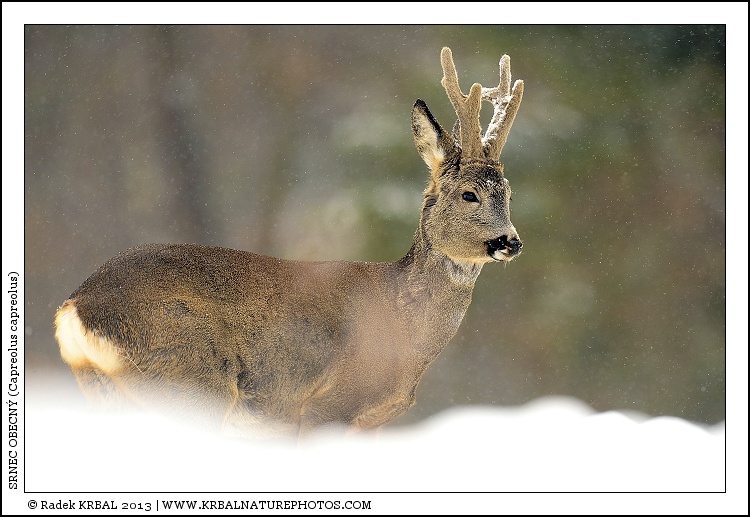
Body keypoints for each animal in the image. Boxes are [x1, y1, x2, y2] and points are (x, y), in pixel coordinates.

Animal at [54, 47, 525, 440]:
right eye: (469, 194)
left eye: (508, 193)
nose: (511, 242)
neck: (401, 327)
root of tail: (74, 307)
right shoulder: (326, 405)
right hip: (188, 378)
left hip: (108, 389)